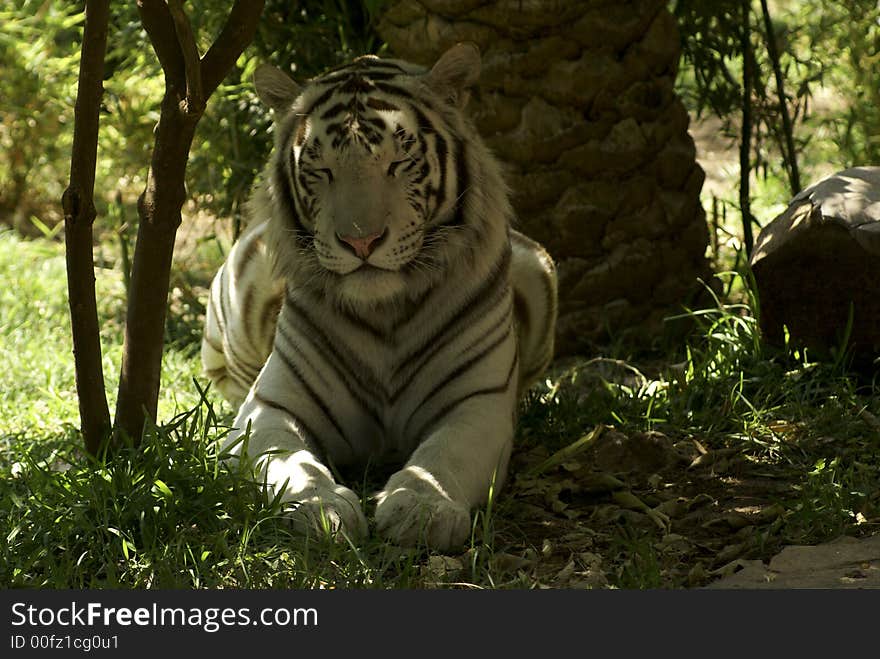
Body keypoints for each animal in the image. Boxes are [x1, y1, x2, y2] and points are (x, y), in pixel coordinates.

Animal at [203, 43, 556, 552]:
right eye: (321, 170)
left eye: (399, 163)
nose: (361, 241)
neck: (385, 312)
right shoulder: (271, 406)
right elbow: (287, 462)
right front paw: (319, 508)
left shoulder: (478, 401)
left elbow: (444, 456)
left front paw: (422, 510)